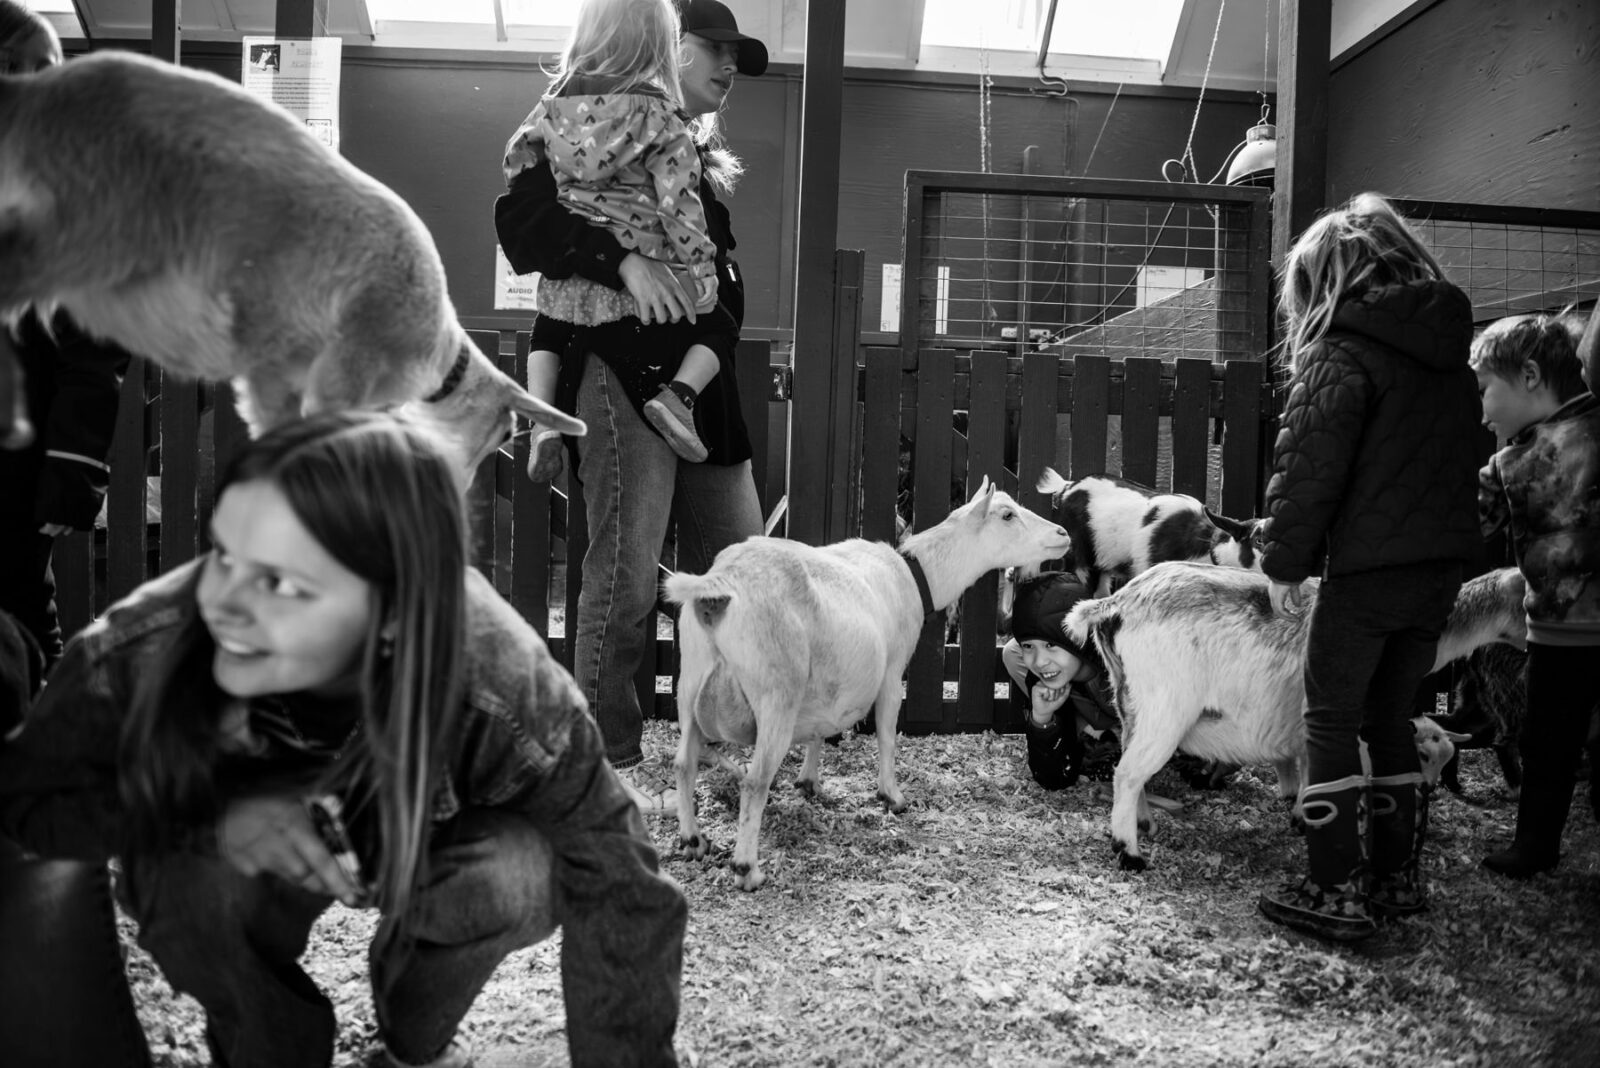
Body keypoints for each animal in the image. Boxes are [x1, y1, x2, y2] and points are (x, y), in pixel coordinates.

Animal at [0, 51, 588, 476]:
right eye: (505, 433)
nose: (459, 483)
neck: (432, 351)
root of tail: (37, 93)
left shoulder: (274, 371)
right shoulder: (341, 373)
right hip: (87, 222)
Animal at [668, 479, 1068, 888]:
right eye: (1007, 515)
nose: (1062, 534)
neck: (915, 576)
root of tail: (721, 585)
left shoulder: (827, 681)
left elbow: (819, 731)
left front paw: (808, 781)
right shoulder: (892, 671)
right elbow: (887, 735)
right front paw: (892, 796)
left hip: (690, 680)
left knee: (683, 763)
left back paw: (692, 839)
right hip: (777, 691)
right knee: (755, 781)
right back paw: (747, 868)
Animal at [1062, 562, 1523, 869]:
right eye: (1423, 757)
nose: (1429, 790)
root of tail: (1117, 602)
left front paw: (1299, 811)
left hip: (1129, 699)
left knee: (1129, 764)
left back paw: (1143, 822)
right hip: (1166, 706)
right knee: (1128, 773)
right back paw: (1129, 852)